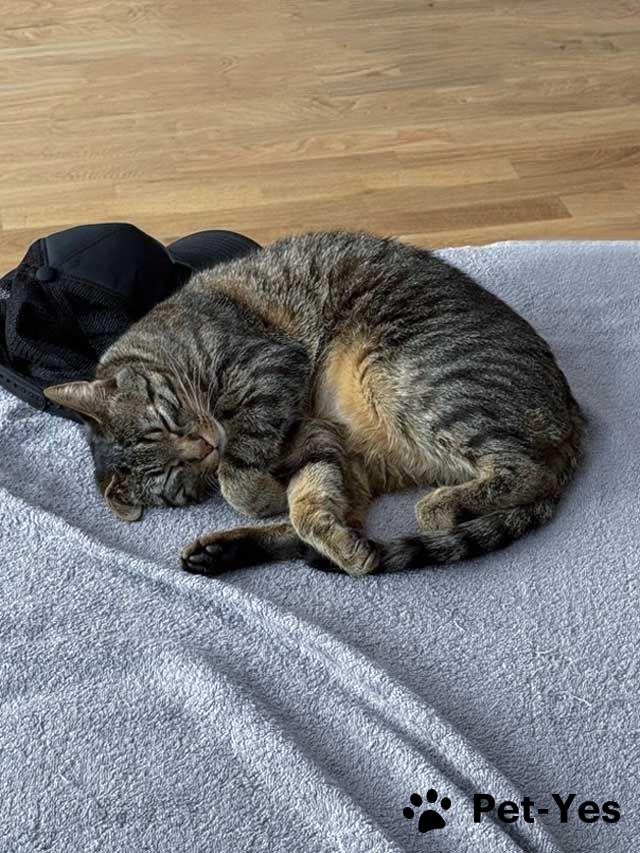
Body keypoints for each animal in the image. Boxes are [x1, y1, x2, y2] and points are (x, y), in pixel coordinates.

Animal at [44, 231, 583, 577]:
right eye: (174, 476)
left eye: (162, 422)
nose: (202, 449)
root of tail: (573, 412)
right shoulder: (320, 440)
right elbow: (305, 505)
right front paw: (285, 507)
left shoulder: (267, 365)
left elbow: (241, 480)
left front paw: (256, 490)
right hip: (371, 449)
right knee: (333, 522)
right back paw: (230, 551)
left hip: (409, 382)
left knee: (526, 471)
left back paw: (441, 507)